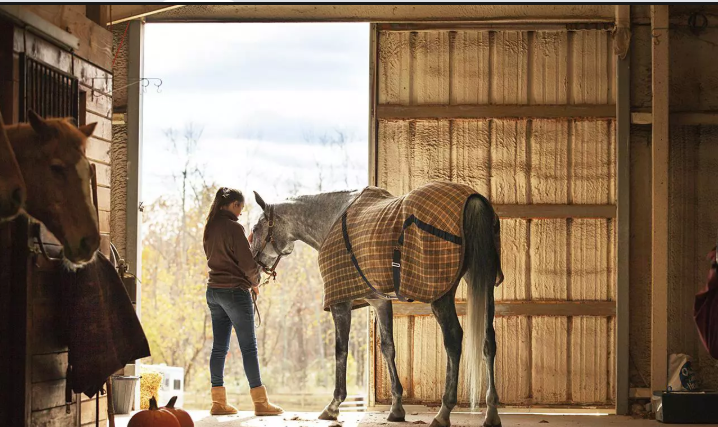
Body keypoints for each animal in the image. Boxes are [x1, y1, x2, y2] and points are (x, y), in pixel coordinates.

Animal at [250, 188, 504, 427]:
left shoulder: (340, 302)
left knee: (453, 340)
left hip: (441, 296)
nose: (255, 266)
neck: (332, 218)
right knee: (489, 341)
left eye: (255, 227)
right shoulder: (379, 301)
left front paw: (333, 406)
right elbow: (388, 348)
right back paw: (491, 411)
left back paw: (443, 413)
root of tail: (472, 200)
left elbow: (341, 350)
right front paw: (397, 409)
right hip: (485, 283)